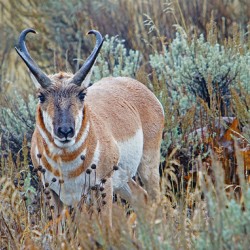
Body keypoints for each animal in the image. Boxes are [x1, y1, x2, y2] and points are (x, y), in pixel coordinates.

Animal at [15, 27, 164, 225]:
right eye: (41, 96)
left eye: (81, 94)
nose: (65, 131)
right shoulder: (52, 193)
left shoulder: (102, 185)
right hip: (123, 182)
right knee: (142, 197)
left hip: (147, 166)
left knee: (156, 200)